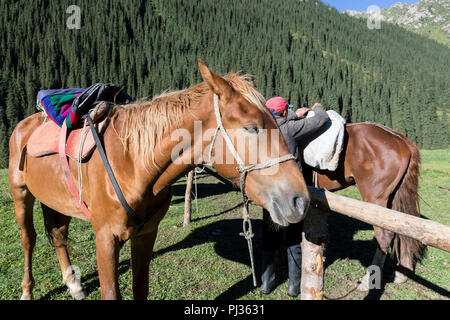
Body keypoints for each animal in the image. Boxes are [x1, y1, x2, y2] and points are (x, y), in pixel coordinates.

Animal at [8, 62, 310, 300]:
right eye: (251, 128)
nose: (300, 200)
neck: (133, 163)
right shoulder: (105, 238)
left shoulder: (146, 234)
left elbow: (141, 289)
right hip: (21, 194)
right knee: (28, 240)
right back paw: (27, 290)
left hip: (56, 200)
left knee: (59, 236)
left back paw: (74, 284)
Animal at [302, 122, 426, 290]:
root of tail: (402, 141)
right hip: (394, 201)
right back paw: (402, 273)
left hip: (376, 201)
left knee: (384, 236)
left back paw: (369, 280)